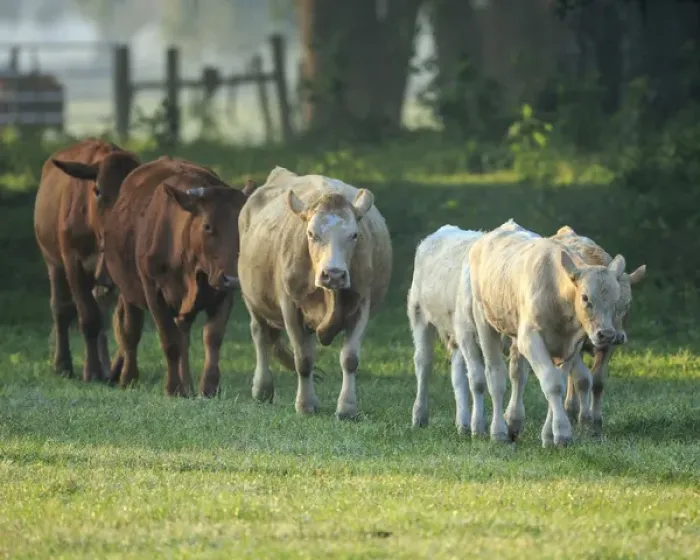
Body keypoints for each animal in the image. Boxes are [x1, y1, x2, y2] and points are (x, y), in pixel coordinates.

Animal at [34, 138, 140, 382]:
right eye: (98, 191)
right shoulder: (73, 261)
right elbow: (88, 317)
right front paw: (91, 371)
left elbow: (125, 321)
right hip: (52, 261)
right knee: (61, 308)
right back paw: (63, 365)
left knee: (101, 306)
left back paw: (106, 367)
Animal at [53, 155, 254, 397]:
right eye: (207, 226)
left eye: (242, 226)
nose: (233, 279)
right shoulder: (154, 293)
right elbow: (169, 341)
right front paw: (173, 388)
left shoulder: (222, 294)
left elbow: (212, 338)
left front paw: (208, 388)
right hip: (128, 291)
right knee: (132, 331)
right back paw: (128, 378)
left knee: (183, 333)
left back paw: (187, 385)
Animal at [237, 166, 392, 419]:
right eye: (311, 234)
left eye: (354, 235)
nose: (334, 274)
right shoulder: (290, 306)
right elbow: (303, 359)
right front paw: (305, 404)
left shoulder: (362, 304)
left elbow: (349, 359)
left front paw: (347, 407)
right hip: (252, 299)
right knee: (260, 333)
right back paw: (262, 388)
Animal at [467, 219, 630, 447]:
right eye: (585, 298)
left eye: (617, 301)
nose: (606, 334)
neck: (556, 292)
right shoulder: (531, 339)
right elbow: (551, 384)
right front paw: (561, 433)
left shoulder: (571, 346)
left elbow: (558, 384)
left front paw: (549, 435)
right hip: (484, 320)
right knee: (496, 377)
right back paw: (498, 432)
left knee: (518, 375)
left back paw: (513, 421)